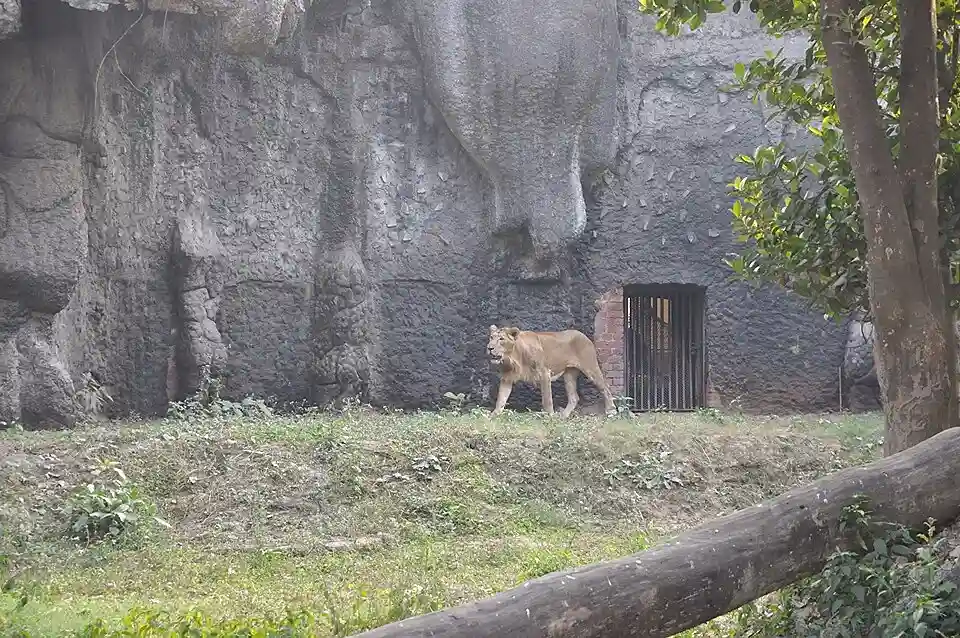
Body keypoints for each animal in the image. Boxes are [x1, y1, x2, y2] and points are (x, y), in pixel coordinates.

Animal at [486, 324, 617, 418]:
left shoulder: (544, 373)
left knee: (605, 388)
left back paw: (611, 411)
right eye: (491, 338)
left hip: (590, 368)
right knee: (574, 397)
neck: (513, 357)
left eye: (501, 339)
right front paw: (493, 415)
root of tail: (583, 335)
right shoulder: (507, 377)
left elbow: (547, 399)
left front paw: (549, 416)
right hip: (569, 374)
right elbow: (501, 398)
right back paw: (563, 416)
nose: (489, 348)